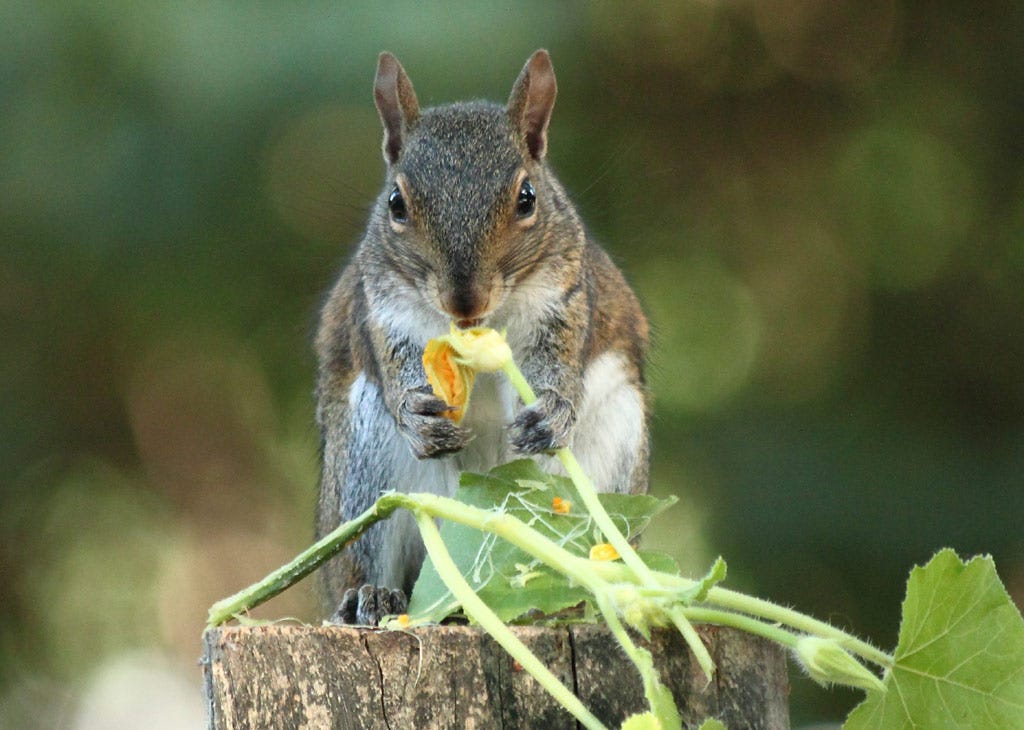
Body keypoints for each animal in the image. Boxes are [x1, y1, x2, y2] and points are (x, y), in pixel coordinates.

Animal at [313, 51, 647, 622]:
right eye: (396, 203)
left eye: (527, 198)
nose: (463, 302)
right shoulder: (381, 312)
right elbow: (396, 368)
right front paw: (418, 415)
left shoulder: (565, 301)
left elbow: (557, 366)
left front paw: (552, 411)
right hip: (364, 466)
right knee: (365, 551)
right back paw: (370, 596)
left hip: (619, 439)